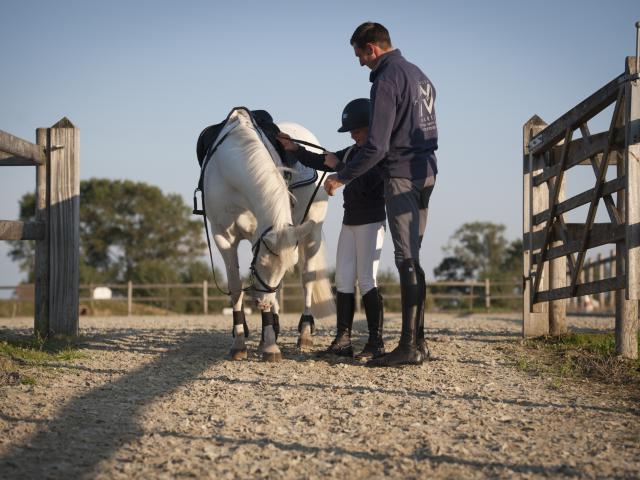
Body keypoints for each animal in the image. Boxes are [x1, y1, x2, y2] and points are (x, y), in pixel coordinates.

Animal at [202, 107, 336, 362]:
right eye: (260, 263)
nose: (261, 304)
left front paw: (271, 347)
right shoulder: (223, 238)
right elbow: (235, 287)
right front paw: (240, 343)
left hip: (311, 232)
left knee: (308, 278)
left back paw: (304, 335)